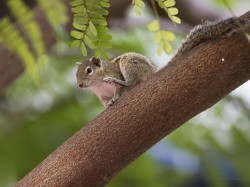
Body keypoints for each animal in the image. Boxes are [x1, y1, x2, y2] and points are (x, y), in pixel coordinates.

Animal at [76, 15, 250, 108]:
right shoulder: (101, 95)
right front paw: (107, 105)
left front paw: (115, 96)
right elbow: (105, 102)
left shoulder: (114, 72)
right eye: (76, 74)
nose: (79, 84)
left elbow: (119, 89)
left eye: (89, 70)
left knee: (131, 82)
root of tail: (152, 72)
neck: (98, 83)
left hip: (128, 63)